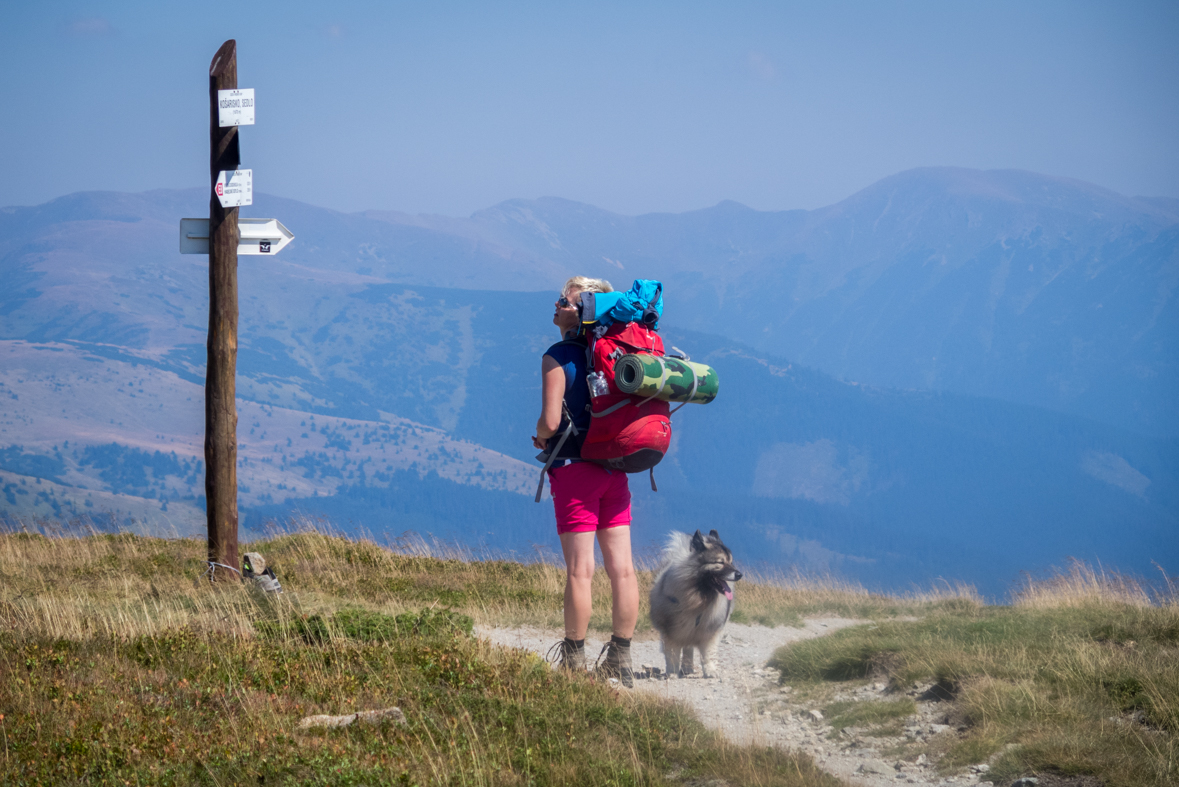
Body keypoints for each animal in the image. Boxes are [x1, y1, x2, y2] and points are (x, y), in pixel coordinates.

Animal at [650, 532, 740, 678]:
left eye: (731, 562)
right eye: (720, 562)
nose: (739, 574)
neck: (698, 598)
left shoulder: (709, 631)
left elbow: (708, 654)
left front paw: (710, 671)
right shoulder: (672, 631)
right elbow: (673, 654)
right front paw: (672, 673)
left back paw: (688, 668)